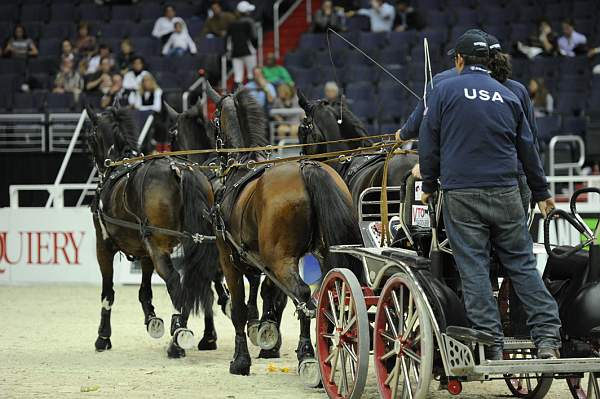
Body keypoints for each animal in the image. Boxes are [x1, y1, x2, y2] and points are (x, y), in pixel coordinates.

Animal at [86, 106, 220, 360]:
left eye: (89, 137)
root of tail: (180, 169)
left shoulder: (103, 246)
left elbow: (108, 293)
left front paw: (103, 337)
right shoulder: (144, 250)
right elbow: (144, 291)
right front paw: (152, 320)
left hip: (158, 245)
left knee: (175, 282)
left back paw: (178, 339)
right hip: (191, 243)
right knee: (196, 280)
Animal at [192, 86, 366, 376]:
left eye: (214, 120)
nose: (214, 157)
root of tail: (308, 168)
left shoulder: (228, 257)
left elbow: (240, 308)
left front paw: (241, 360)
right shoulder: (257, 259)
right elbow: (269, 296)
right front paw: (267, 337)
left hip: (279, 258)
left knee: (304, 295)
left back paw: (308, 355)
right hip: (320, 255)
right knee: (324, 296)